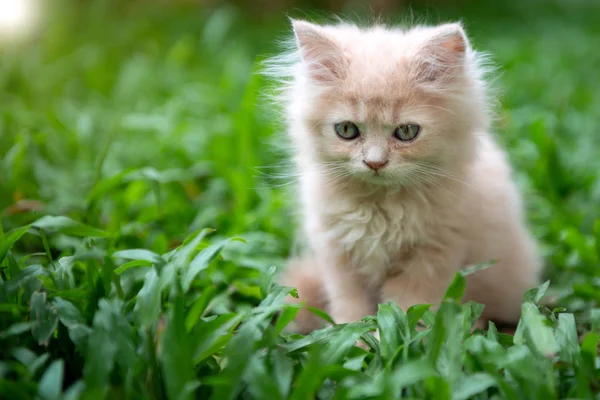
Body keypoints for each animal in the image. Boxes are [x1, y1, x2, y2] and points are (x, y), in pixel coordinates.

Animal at [268, 18, 540, 332]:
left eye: (407, 132)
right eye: (347, 130)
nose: (375, 163)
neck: (379, 207)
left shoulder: (432, 256)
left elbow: (409, 308)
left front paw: (401, 339)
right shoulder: (339, 256)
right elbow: (351, 309)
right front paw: (355, 337)